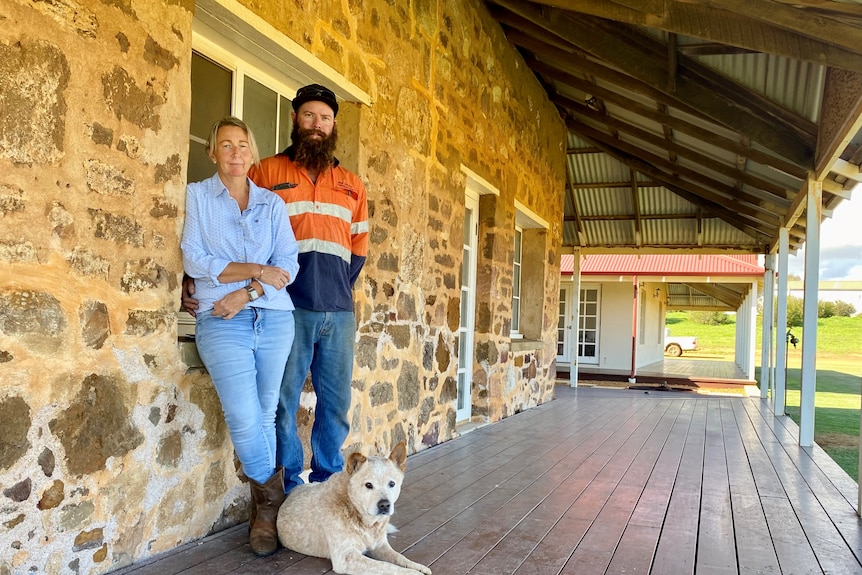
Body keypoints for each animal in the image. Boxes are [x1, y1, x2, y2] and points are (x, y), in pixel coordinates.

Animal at [276, 444, 432, 572]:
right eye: (368, 485)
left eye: (392, 484)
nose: (385, 505)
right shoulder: (346, 557)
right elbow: (387, 566)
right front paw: (413, 573)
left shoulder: (379, 545)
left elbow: (399, 557)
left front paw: (418, 566)